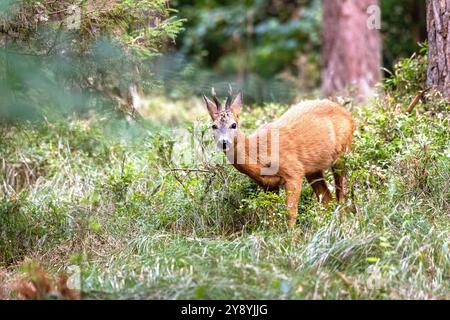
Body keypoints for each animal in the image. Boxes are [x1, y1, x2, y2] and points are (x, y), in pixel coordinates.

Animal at [204, 88, 356, 228]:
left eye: (233, 124)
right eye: (214, 126)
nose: (224, 142)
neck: (258, 155)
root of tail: (348, 114)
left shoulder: (294, 172)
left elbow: (290, 212)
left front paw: (291, 236)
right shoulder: (268, 185)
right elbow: (271, 214)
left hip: (343, 152)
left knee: (342, 194)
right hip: (313, 170)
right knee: (326, 198)